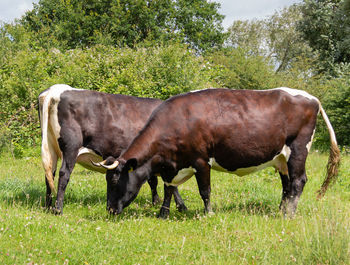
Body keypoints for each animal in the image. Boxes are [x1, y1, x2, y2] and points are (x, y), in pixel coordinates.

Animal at [37, 83, 186, 213]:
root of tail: (55, 89)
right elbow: (169, 183)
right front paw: (180, 206)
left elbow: (153, 180)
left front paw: (156, 202)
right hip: (71, 147)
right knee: (63, 174)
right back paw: (58, 209)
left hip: (51, 147)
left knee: (50, 174)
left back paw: (48, 207)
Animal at [100, 87, 340, 218]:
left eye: (115, 180)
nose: (110, 209)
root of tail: (312, 98)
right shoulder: (171, 166)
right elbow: (169, 189)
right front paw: (163, 214)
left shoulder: (201, 160)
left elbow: (204, 190)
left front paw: (208, 213)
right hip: (281, 158)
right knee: (287, 184)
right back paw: (281, 210)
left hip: (298, 149)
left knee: (299, 181)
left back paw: (289, 214)